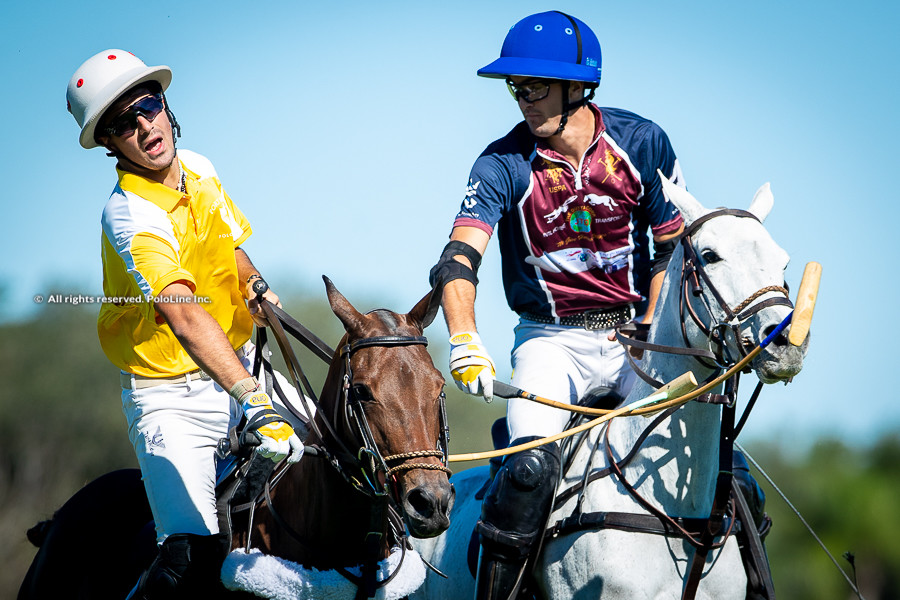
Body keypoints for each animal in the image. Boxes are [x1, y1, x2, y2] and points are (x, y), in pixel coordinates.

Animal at [414, 179, 808, 600]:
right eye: (710, 255)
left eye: (783, 262)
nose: (787, 343)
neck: (674, 511)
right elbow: (460, 257)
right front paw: (471, 364)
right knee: (528, 470)